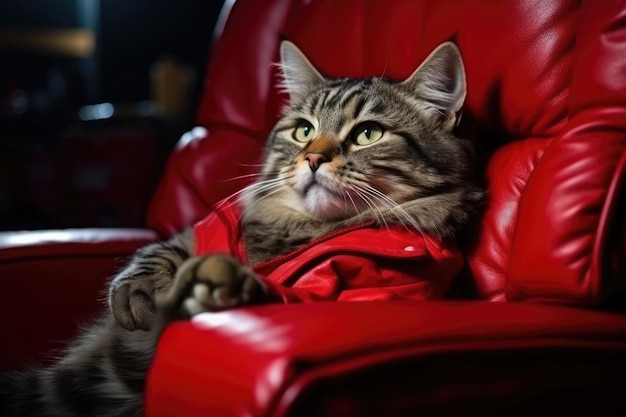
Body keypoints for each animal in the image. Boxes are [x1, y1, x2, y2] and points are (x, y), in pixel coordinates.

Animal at [0, 39, 482, 416]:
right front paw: (138, 290)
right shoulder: (201, 228)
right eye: (303, 131)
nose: (313, 158)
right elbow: (159, 250)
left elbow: (285, 292)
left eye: (368, 134)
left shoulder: (381, 287)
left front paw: (221, 287)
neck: (300, 230)